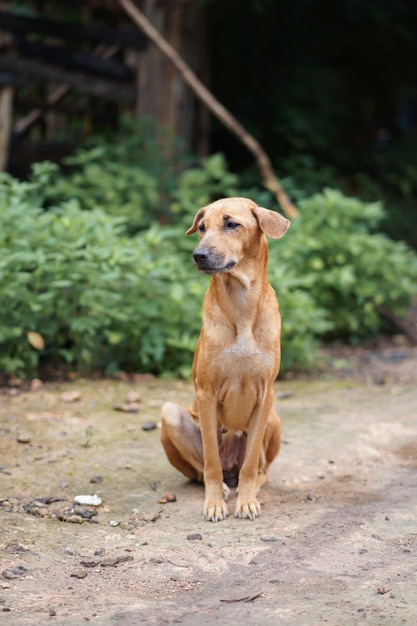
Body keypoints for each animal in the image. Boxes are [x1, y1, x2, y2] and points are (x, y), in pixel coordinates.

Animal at [160, 197, 290, 520]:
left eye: (232, 224)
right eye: (202, 227)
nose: (198, 256)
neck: (241, 302)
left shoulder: (266, 394)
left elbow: (251, 461)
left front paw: (246, 500)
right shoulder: (206, 394)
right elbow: (211, 461)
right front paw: (215, 502)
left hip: (273, 416)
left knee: (259, 469)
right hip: (170, 413)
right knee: (202, 469)